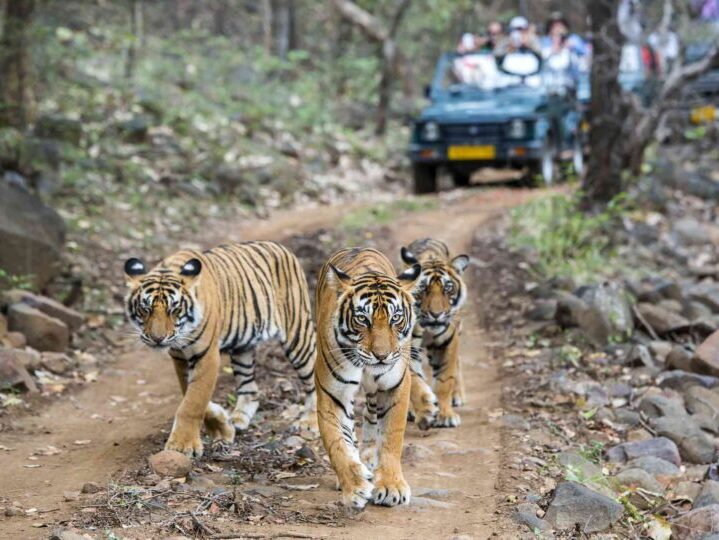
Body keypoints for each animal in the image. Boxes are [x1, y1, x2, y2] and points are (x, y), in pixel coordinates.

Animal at [124, 243, 318, 458]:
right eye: (145, 309)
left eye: (174, 309)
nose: (158, 339)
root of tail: (282, 248)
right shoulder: (180, 357)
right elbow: (189, 393)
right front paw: (222, 427)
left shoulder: (206, 355)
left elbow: (193, 401)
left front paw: (182, 445)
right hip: (243, 347)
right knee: (250, 388)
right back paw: (239, 419)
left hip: (298, 333)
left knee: (314, 378)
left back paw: (310, 422)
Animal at [316, 247, 422, 508]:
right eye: (363, 319)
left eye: (396, 318)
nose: (381, 356)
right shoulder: (332, 394)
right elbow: (337, 443)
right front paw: (354, 487)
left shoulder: (395, 387)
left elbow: (391, 438)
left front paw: (391, 487)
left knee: (371, 416)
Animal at [402, 238, 470, 428]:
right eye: (423, 289)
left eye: (448, 288)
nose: (436, 314)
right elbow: (414, 381)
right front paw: (425, 411)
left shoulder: (447, 342)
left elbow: (445, 380)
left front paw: (446, 415)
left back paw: (457, 396)